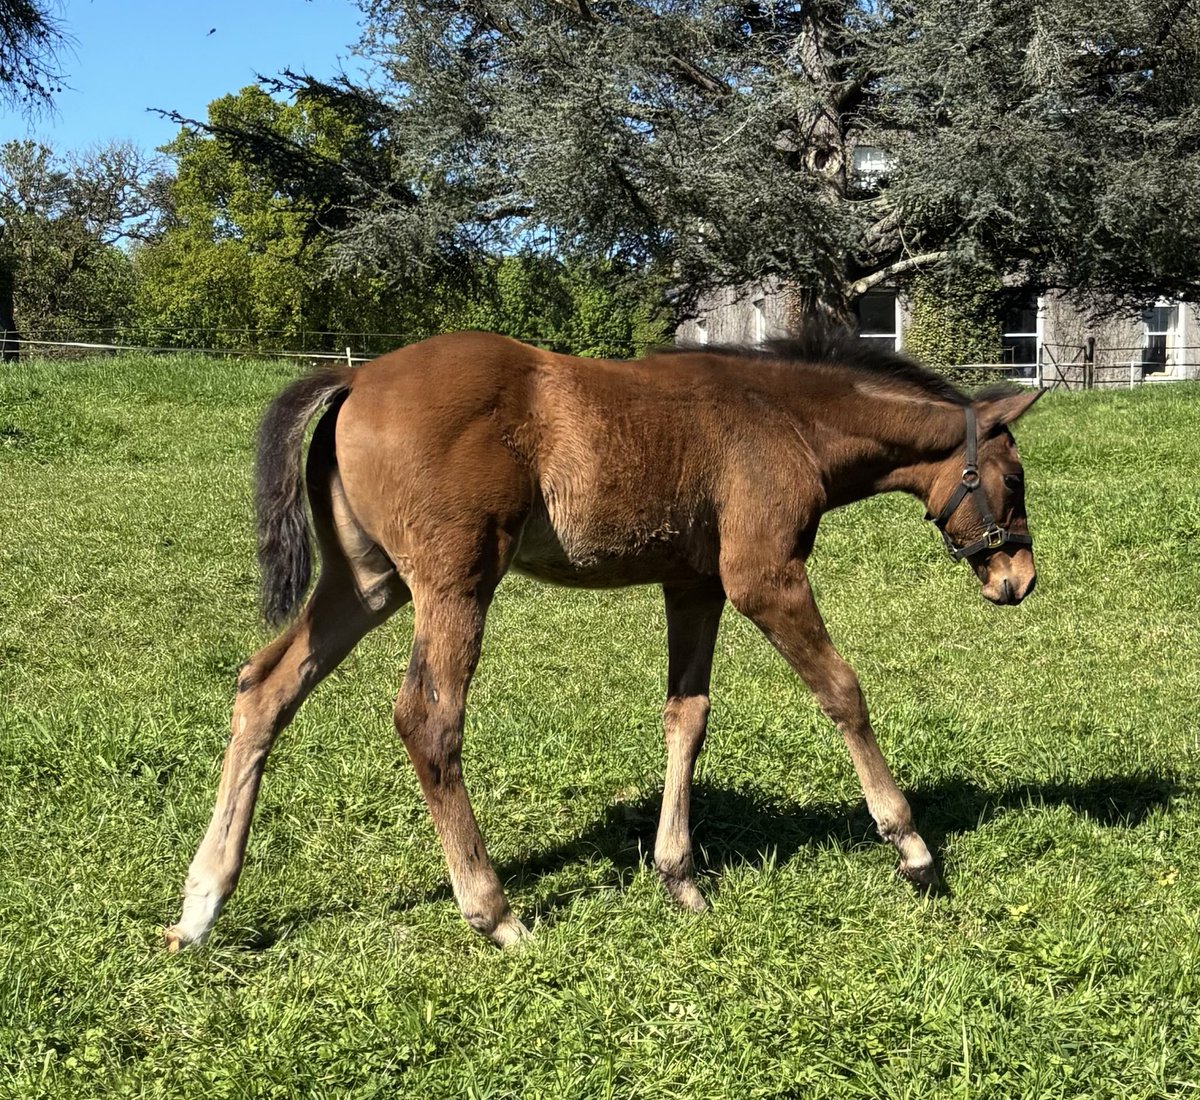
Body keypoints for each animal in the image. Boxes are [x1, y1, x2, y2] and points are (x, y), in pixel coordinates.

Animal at [164, 327, 1041, 950]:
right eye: (1015, 478)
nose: (1018, 579)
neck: (783, 417)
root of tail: (355, 378)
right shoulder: (763, 576)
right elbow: (842, 691)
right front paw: (912, 848)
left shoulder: (696, 585)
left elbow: (687, 717)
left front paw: (679, 876)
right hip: (454, 583)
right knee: (426, 720)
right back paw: (494, 913)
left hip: (368, 581)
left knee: (264, 687)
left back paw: (201, 906)